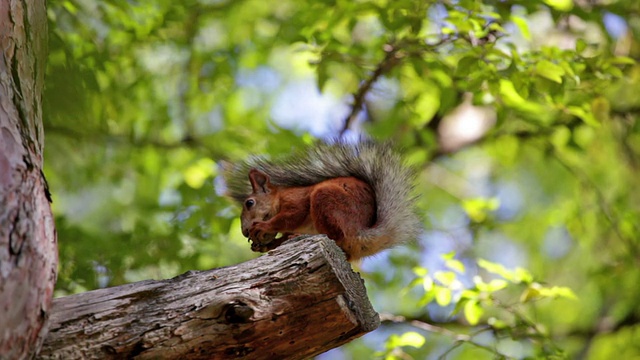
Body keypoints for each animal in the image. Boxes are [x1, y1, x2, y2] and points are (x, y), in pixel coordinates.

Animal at [225, 141, 420, 262]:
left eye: (250, 203)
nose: (245, 231)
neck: (279, 198)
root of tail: (360, 232)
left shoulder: (296, 200)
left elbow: (290, 217)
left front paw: (262, 227)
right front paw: (263, 245)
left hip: (326, 199)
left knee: (336, 235)